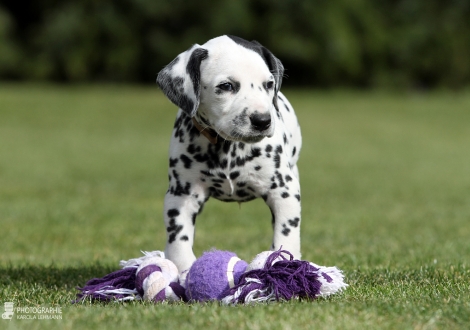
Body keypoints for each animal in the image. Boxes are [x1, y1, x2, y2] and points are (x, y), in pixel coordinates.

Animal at [157, 35, 302, 274]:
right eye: (226, 86)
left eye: (269, 84)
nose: (262, 120)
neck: (229, 148)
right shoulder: (181, 195)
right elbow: (179, 241)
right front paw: (184, 273)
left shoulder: (285, 192)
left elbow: (286, 236)